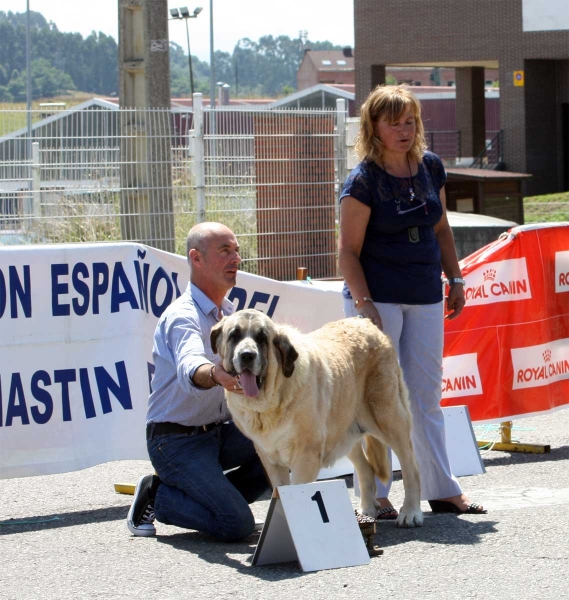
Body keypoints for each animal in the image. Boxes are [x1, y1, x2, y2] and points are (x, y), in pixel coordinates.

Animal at [212, 310, 422, 524]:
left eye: (262, 338)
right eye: (234, 335)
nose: (247, 355)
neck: (271, 398)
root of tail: (367, 323)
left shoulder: (305, 456)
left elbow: (297, 493)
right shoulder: (270, 459)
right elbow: (280, 492)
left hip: (388, 417)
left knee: (411, 466)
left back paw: (410, 512)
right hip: (344, 430)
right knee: (366, 469)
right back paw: (367, 510)